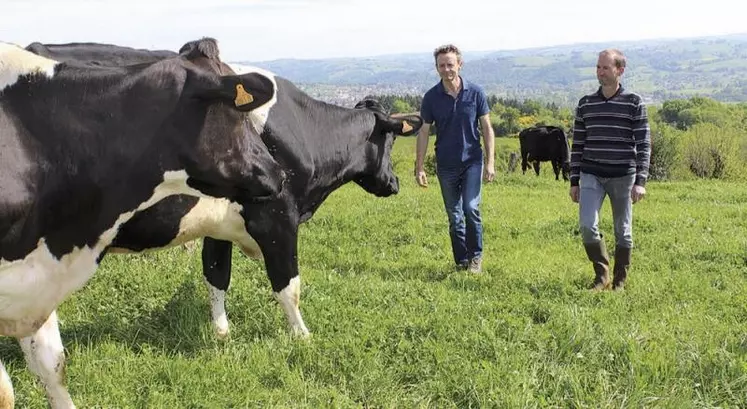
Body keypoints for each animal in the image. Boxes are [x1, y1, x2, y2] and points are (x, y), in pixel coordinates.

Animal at [26, 41, 424, 342]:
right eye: (390, 141)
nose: (394, 183)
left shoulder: (219, 224)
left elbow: (216, 274)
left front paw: (221, 332)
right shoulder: (277, 217)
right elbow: (288, 283)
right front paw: (302, 336)